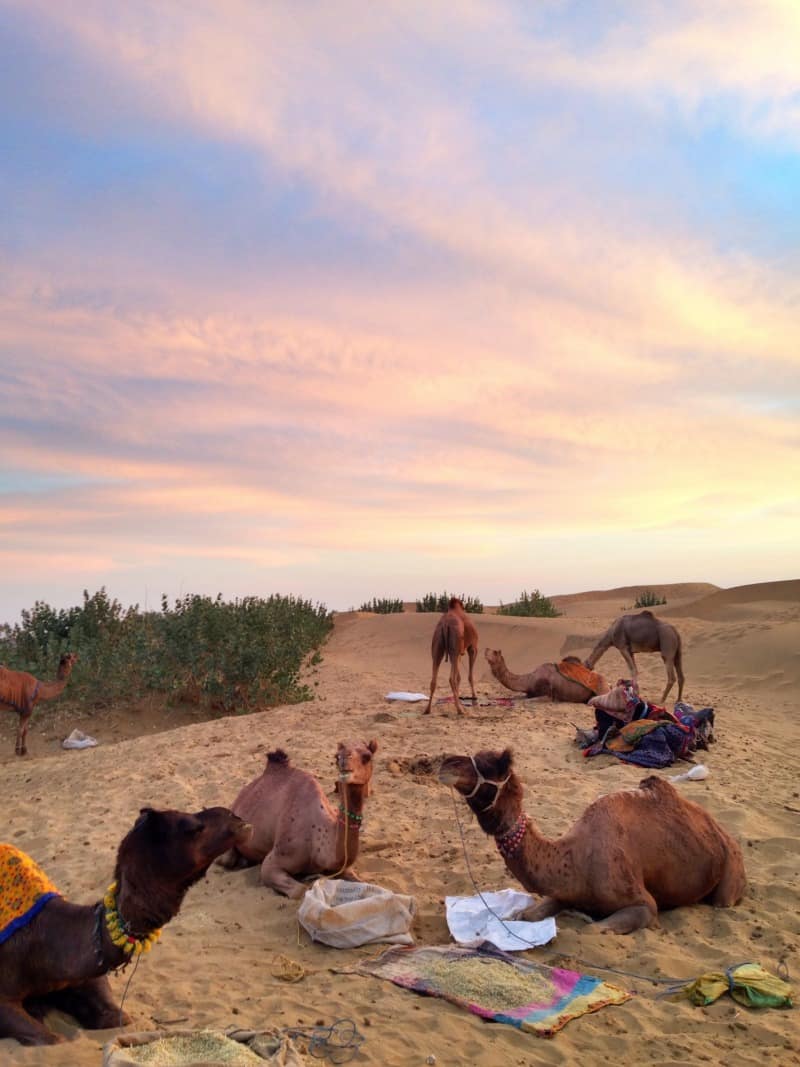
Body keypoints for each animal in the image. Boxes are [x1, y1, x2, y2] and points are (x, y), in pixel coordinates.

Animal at [216, 738, 379, 896]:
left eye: (367, 756)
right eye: (336, 757)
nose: (344, 761)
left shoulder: (342, 867)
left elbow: (366, 884)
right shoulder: (273, 861)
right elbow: (300, 891)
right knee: (226, 859)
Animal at [441, 751, 750, 934]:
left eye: (489, 765)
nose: (445, 762)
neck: (576, 857)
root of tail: (724, 833)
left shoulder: (643, 905)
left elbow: (596, 928)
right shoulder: (564, 891)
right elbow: (525, 915)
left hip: (731, 871)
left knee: (723, 901)